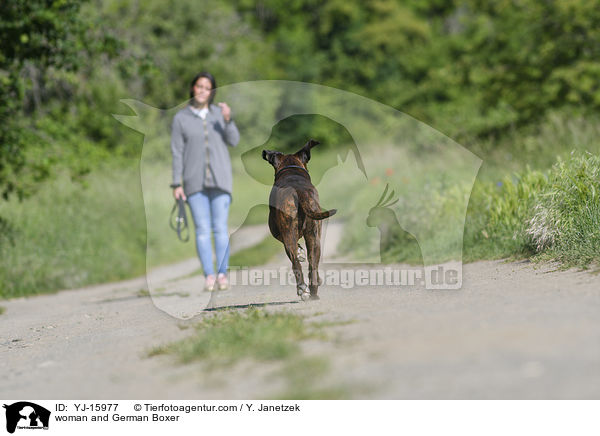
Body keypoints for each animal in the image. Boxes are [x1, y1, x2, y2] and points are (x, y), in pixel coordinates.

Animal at [262, 140, 338, 300]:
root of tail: (298, 190)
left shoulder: (278, 233)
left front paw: (299, 252)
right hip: (314, 237)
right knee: (312, 265)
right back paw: (312, 291)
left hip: (290, 233)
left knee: (295, 261)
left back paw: (303, 288)